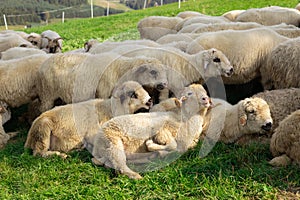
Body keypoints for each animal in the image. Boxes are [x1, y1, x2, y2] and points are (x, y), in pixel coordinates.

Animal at [24, 80, 152, 159]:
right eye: (133, 95)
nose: (150, 100)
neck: (109, 109)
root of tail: (28, 140)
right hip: (43, 129)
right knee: (38, 153)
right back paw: (59, 155)